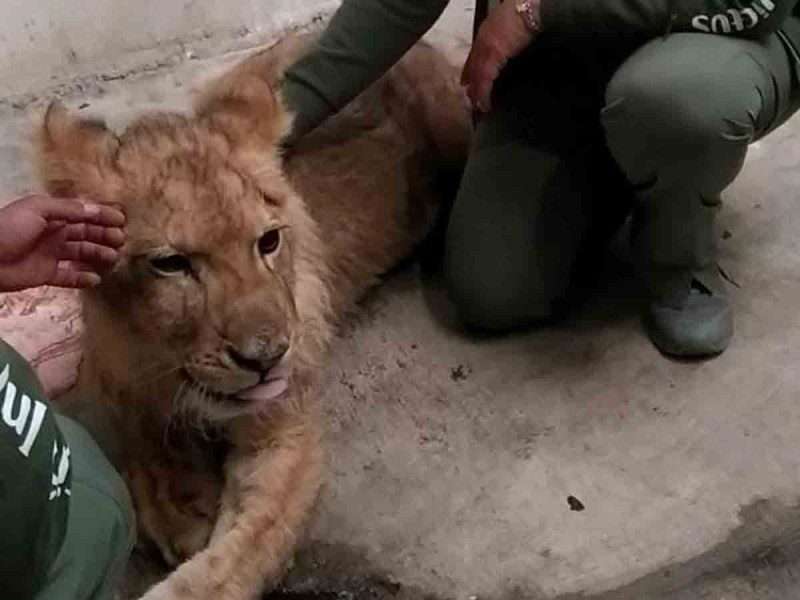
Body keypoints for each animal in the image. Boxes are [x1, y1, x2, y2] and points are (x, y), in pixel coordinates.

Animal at [38, 34, 471, 599]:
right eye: (171, 264)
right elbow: (138, 434)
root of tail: (425, 51)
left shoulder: (288, 431)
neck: (159, 352)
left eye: (268, 242)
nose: (266, 358)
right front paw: (178, 500)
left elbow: (237, 557)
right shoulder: (113, 372)